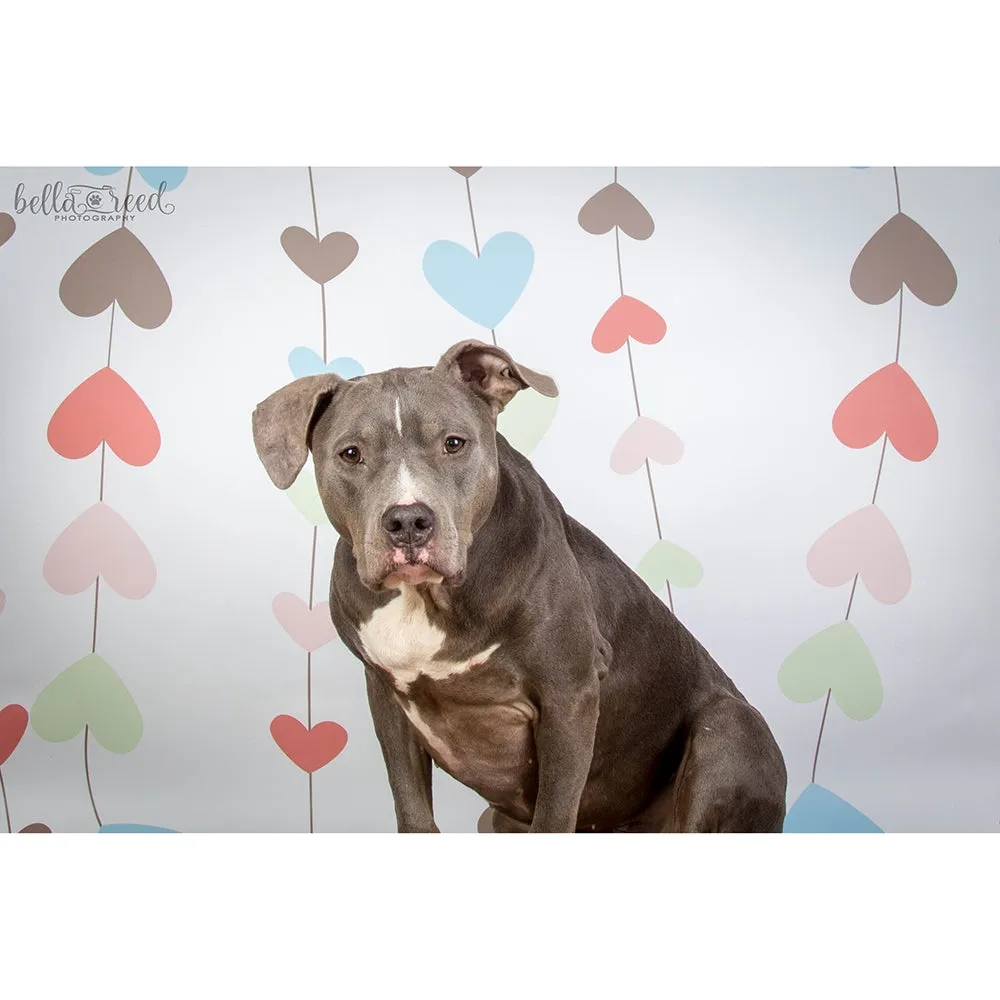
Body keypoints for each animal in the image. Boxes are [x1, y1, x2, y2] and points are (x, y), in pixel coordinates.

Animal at [252, 340, 788, 832]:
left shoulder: (569, 696)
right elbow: (413, 811)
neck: (430, 599)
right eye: (351, 454)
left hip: (731, 729)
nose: (407, 521)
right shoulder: (386, 696)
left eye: (454, 443)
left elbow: (554, 814)